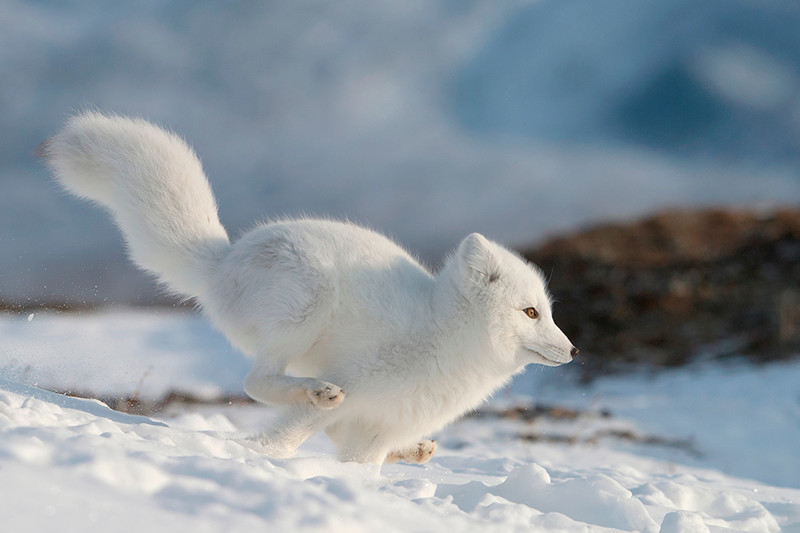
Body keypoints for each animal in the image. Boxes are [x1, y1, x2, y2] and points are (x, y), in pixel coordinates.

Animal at [42, 112, 576, 462]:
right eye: (530, 312)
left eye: (548, 311)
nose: (572, 351)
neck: (444, 338)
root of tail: (225, 259)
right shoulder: (360, 382)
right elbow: (291, 434)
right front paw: (263, 458)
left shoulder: (377, 430)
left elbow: (360, 462)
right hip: (306, 304)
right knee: (257, 382)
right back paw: (318, 393)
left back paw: (414, 451)